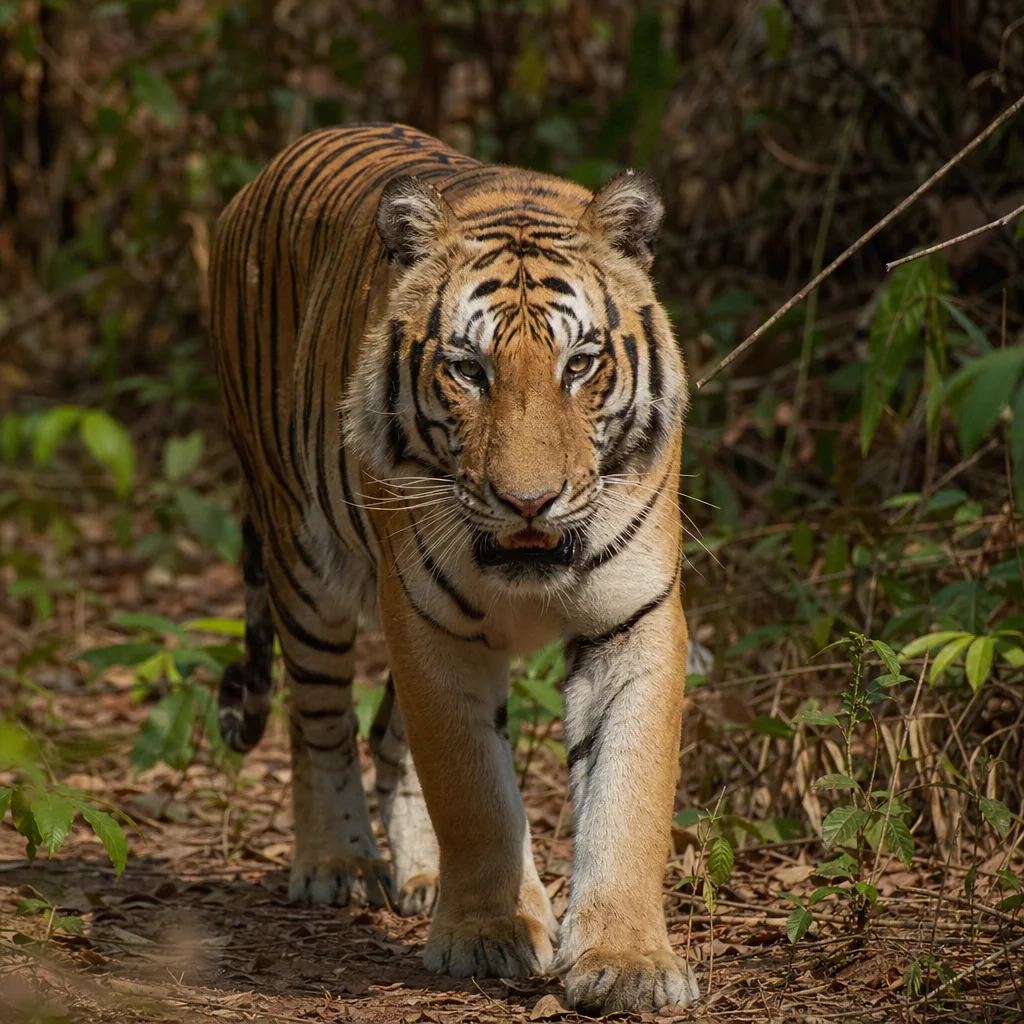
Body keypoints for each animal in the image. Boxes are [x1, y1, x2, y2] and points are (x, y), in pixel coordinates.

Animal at [209, 122, 698, 1014]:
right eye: (470, 369)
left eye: (579, 365)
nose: (529, 501)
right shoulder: (427, 621)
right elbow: (471, 789)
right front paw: (491, 936)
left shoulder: (634, 621)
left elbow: (629, 795)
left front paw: (628, 962)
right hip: (303, 561)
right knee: (319, 717)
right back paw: (338, 863)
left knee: (384, 732)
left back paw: (422, 875)